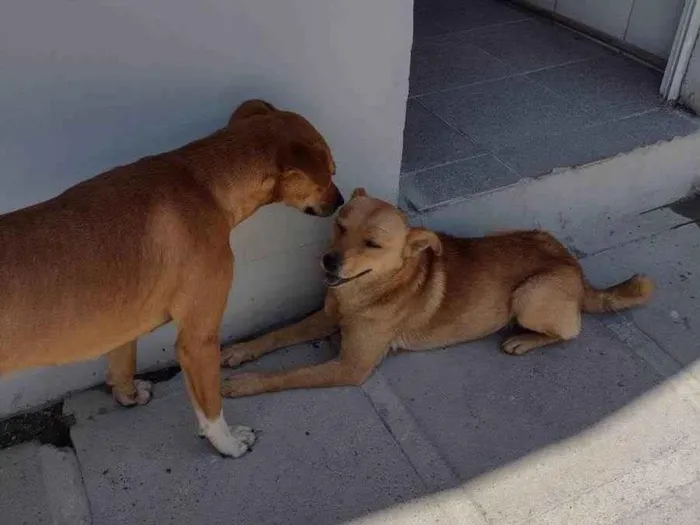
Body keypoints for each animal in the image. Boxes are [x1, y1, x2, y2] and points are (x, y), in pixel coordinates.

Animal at [0, 100, 344, 456]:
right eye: (331, 172)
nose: (341, 200)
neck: (202, 181)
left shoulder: (125, 320)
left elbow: (123, 361)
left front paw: (128, 395)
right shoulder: (198, 340)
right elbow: (211, 408)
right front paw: (228, 444)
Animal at [221, 186, 652, 396]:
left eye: (372, 244)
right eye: (340, 226)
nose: (328, 261)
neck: (370, 290)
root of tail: (575, 266)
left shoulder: (350, 367)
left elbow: (287, 374)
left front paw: (245, 383)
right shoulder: (326, 318)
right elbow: (277, 335)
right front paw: (241, 351)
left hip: (529, 296)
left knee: (570, 331)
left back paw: (524, 340)